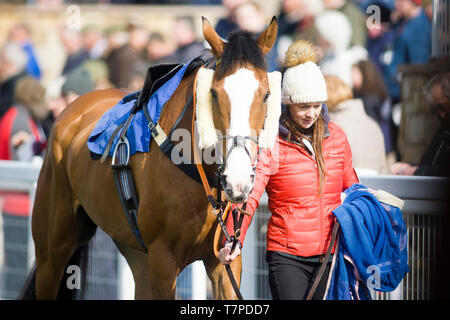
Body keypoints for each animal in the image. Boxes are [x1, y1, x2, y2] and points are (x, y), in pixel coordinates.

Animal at [22, 16, 282, 298]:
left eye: (266, 95)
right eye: (213, 93)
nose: (238, 181)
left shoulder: (225, 258)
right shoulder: (162, 258)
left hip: (135, 251)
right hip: (52, 251)